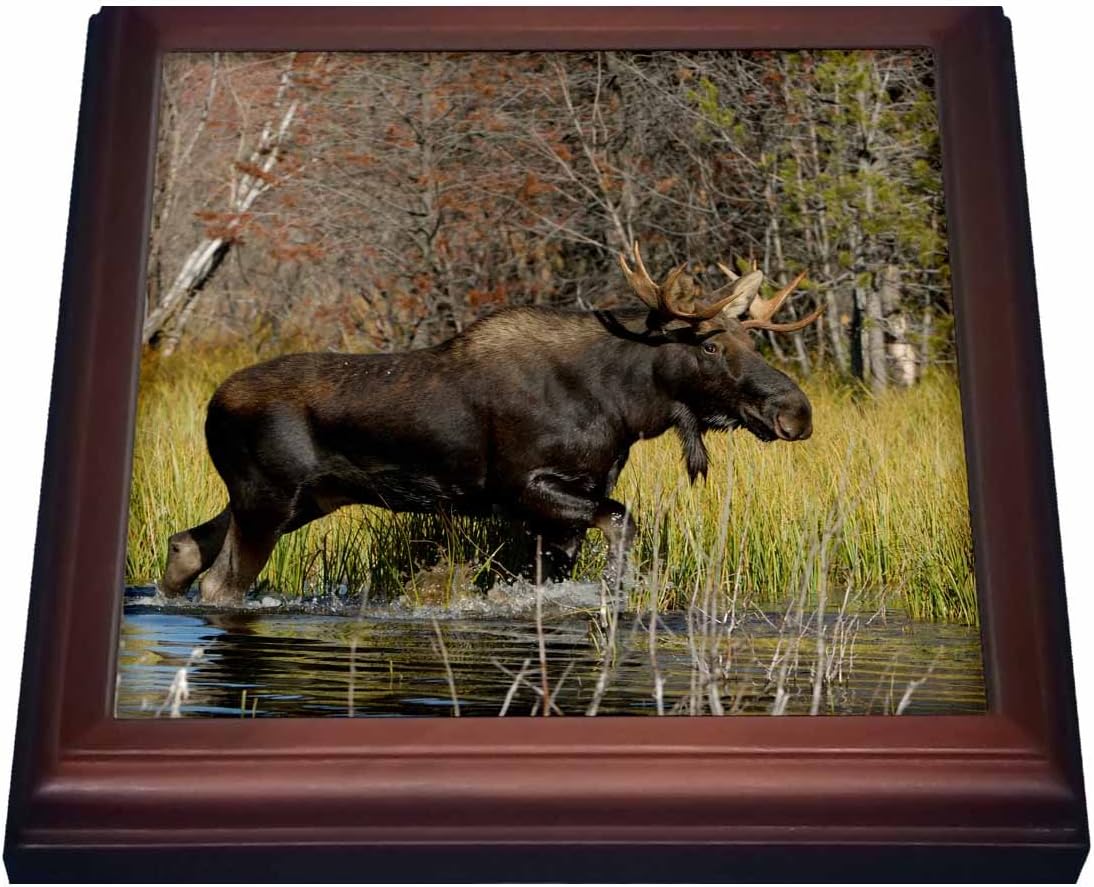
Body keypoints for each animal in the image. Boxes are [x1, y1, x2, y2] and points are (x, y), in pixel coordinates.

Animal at [161, 243, 821, 604]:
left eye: (751, 339)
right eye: (710, 345)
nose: (797, 412)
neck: (623, 405)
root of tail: (212, 404)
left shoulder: (567, 502)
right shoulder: (521, 487)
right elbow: (622, 520)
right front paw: (616, 590)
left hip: (301, 499)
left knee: (186, 543)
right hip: (268, 497)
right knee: (220, 582)